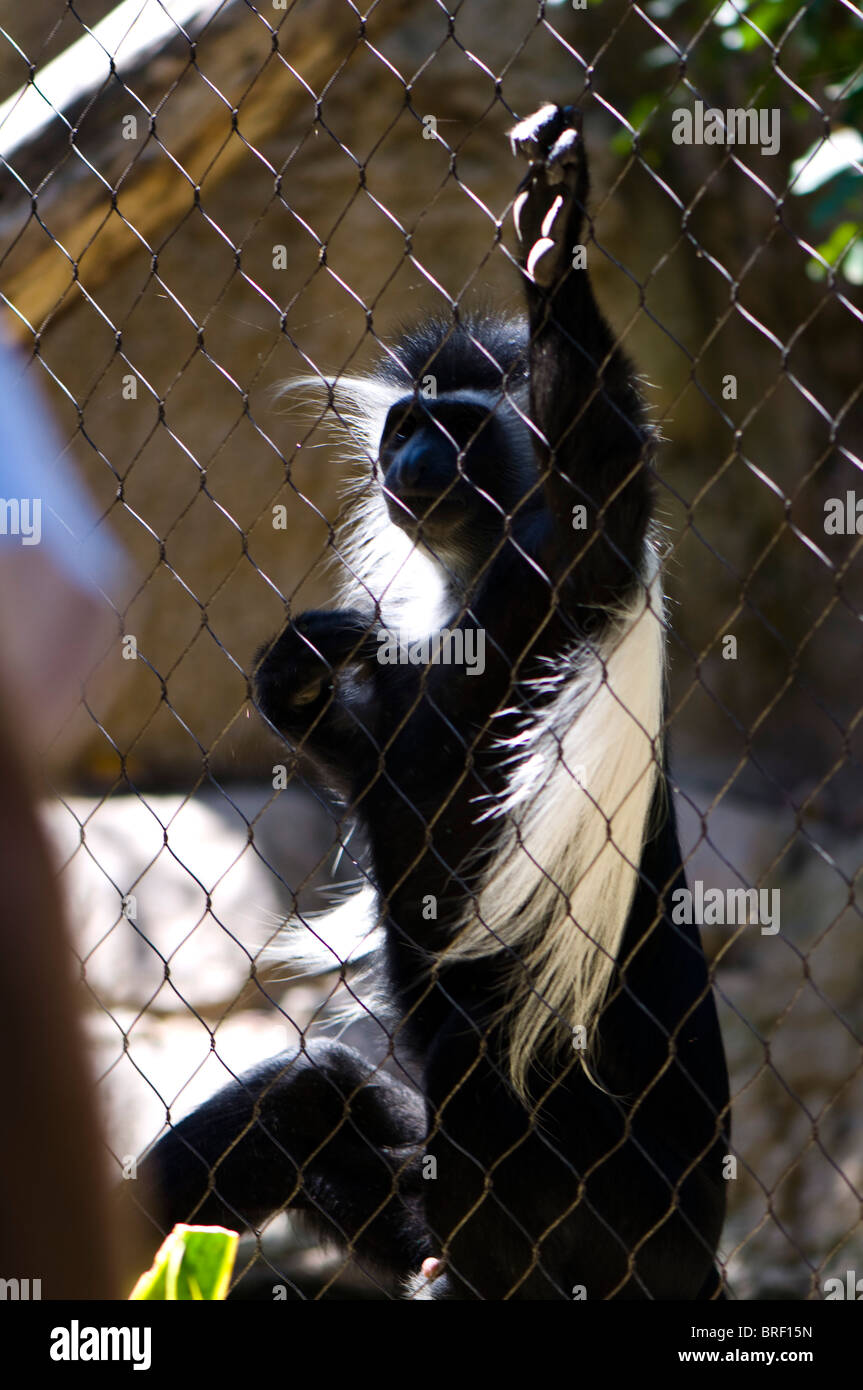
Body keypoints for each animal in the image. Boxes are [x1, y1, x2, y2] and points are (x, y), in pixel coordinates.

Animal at [142, 103, 730, 1300]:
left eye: (454, 429)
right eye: (406, 422)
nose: (406, 454)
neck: (478, 587)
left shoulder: (571, 564)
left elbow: (602, 459)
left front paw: (554, 245)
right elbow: (367, 759)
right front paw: (299, 675)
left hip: (593, 1204)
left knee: (477, 1079)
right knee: (303, 1100)